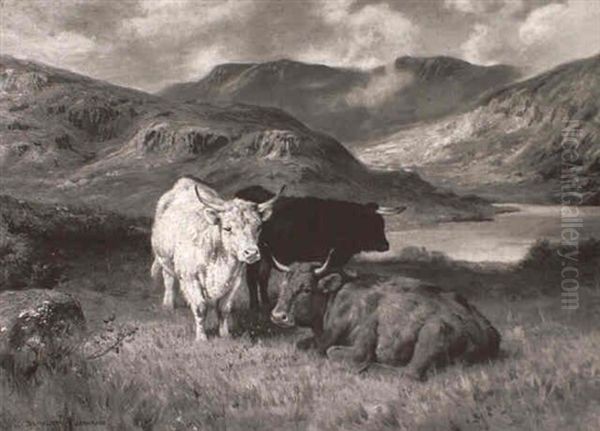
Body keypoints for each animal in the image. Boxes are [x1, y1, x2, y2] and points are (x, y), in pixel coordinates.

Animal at [150, 177, 282, 342]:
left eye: (258, 227)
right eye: (227, 228)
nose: (251, 253)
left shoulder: (234, 281)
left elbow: (224, 308)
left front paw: (225, 335)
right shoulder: (190, 278)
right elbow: (200, 307)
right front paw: (201, 338)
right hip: (164, 259)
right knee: (168, 280)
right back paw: (168, 305)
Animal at [234, 184, 408, 312]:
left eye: (382, 223)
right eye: (372, 224)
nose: (385, 245)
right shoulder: (327, 258)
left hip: (265, 256)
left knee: (262, 278)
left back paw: (266, 304)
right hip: (254, 257)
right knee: (252, 279)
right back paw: (255, 307)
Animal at [270, 255, 502, 380]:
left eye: (306, 289)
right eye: (283, 285)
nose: (278, 315)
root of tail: (486, 329)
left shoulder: (359, 347)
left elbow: (332, 351)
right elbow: (301, 344)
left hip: (433, 331)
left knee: (410, 374)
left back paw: (370, 368)